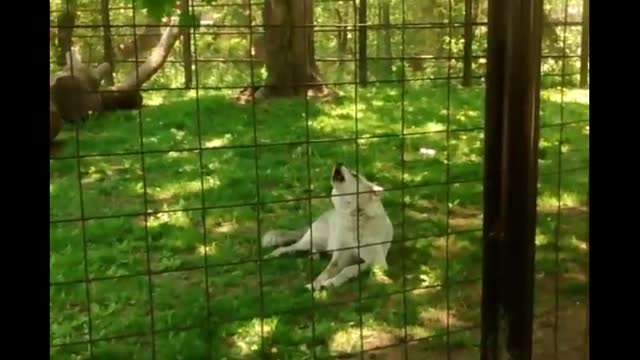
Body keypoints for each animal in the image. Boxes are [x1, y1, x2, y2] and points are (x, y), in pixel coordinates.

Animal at [262, 163, 392, 290]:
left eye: (354, 174)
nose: (339, 163)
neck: (353, 220)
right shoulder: (340, 257)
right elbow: (326, 271)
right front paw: (314, 284)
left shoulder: (377, 262)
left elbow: (348, 269)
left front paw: (331, 282)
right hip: (309, 241)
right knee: (285, 248)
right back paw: (271, 256)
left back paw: (313, 256)